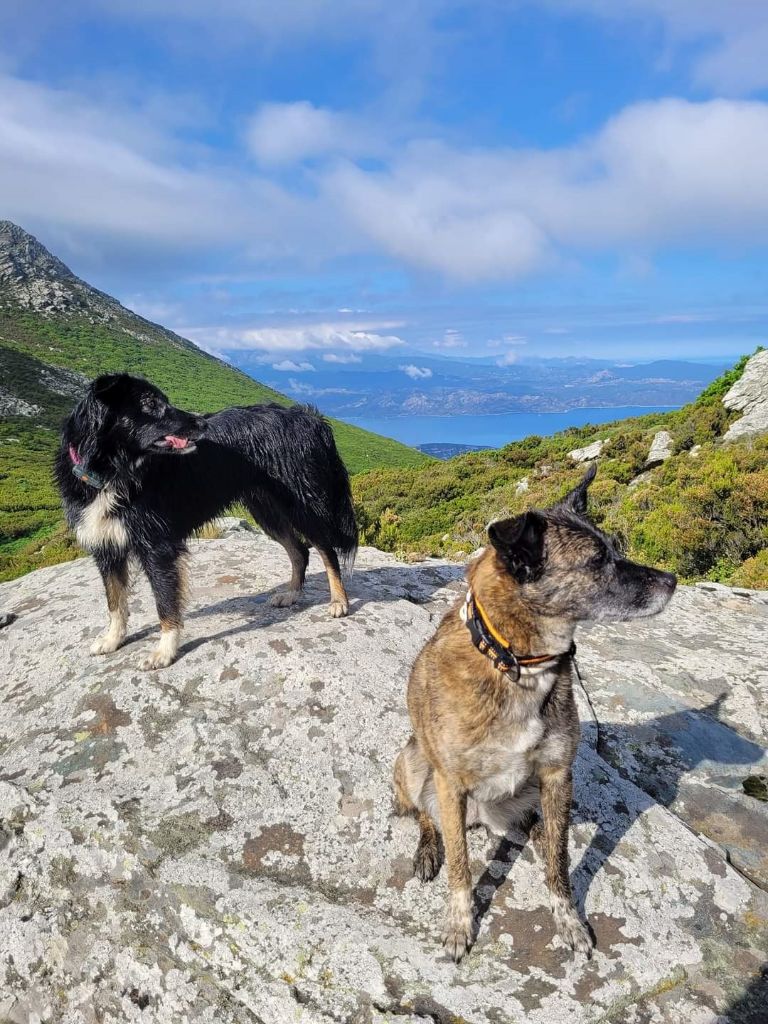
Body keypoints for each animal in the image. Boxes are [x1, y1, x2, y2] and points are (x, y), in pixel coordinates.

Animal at [55, 376, 360, 671]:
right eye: (150, 403)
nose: (202, 424)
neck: (112, 471)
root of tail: (308, 417)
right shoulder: (106, 548)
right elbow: (115, 601)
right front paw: (112, 640)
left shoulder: (157, 547)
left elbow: (165, 603)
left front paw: (164, 652)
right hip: (266, 510)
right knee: (300, 550)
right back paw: (292, 594)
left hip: (302, 505)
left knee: (326, 549)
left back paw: (339, 601)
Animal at [393, 468, 675, 962]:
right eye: (598, 561)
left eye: (615, 547)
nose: (673, 580)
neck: (517, 663)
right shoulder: (450, 782)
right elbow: (462, 867)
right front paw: (458, 926)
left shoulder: (557, 774)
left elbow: (560, 862)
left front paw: (568, 919)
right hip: (412, 763)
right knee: (426, 816)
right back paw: (429, 850)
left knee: (538, 828)